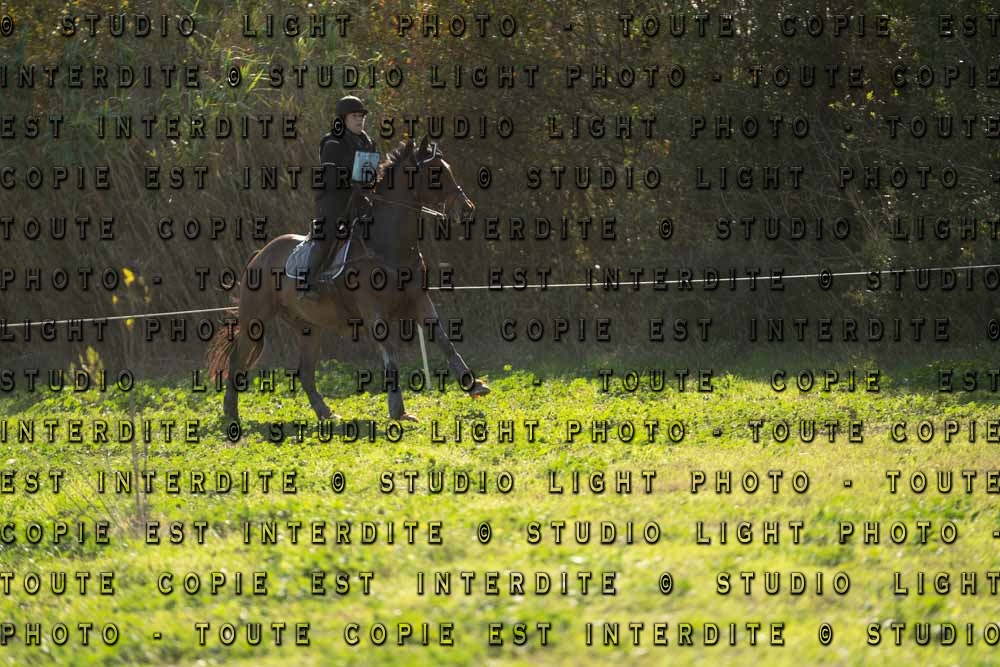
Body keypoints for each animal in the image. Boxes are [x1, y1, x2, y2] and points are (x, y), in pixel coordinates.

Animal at [205, 135, 490, 424]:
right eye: (435, 172)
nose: (467, 209)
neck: (387, 246)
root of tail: (259, 255)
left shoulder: (419, 300)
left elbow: (444, 340)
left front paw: (474, 385)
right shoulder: (373, 312)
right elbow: (390, 355)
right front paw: (398, 409)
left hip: (309, 327)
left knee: (305, 371)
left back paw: (325, 413)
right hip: (255, 320)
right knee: (237, 362)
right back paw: (231, 414)